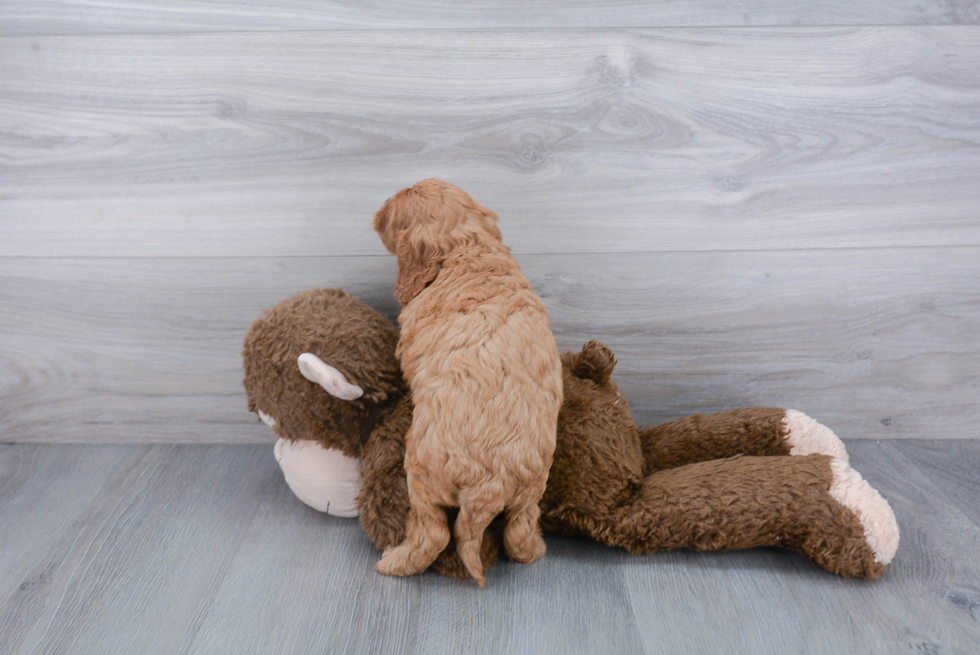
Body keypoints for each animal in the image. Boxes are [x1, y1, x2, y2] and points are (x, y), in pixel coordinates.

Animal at [374, 177, 564, 588]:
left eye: (394, 213)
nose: (378, 211)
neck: (469, 248)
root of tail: (488, 487)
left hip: (420, 474)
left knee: (433, 534)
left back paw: (394, 562)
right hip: (532, 489)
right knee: (519, 530)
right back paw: (536, 548)